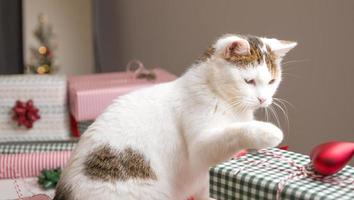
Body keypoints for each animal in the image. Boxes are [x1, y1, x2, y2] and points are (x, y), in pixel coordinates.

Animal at [54, 33, 296, 199]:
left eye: (272, 81)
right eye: (249, 81)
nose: (263, 99)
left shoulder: (201, 174)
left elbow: (203, 188)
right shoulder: (200, 146)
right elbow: (232, 133)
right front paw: (267, 131)